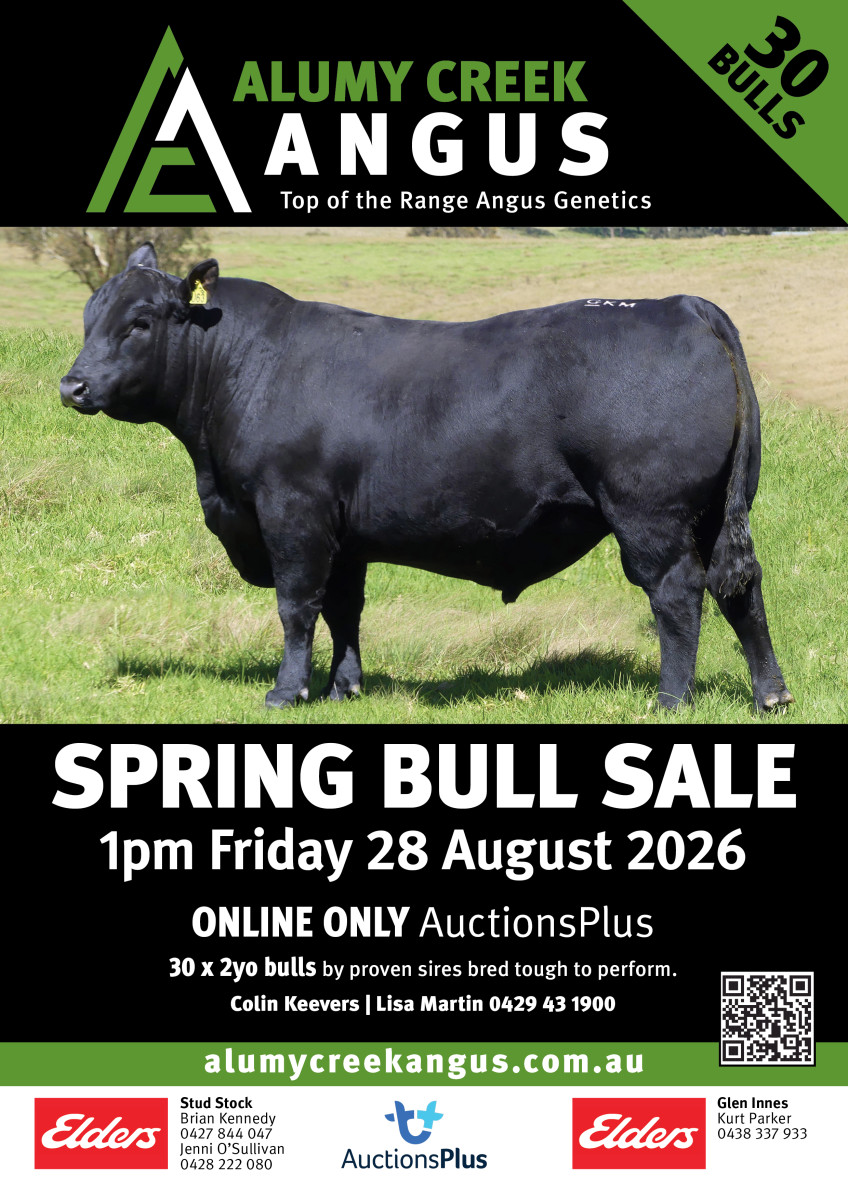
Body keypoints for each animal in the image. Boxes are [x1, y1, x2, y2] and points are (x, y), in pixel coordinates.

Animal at [60, 243, 793, 713]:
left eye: (141, 321)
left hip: (649, 514)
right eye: (90, 317)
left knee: (677, 594)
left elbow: (298, 605)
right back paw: (771, 694)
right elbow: (343, 608)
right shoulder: (344, 533)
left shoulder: (292, 511)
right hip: (714, 512)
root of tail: (678, 304)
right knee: (740, 588)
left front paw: (286, 691)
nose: (73, 385)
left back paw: (670, 700)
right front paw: (344, 688)